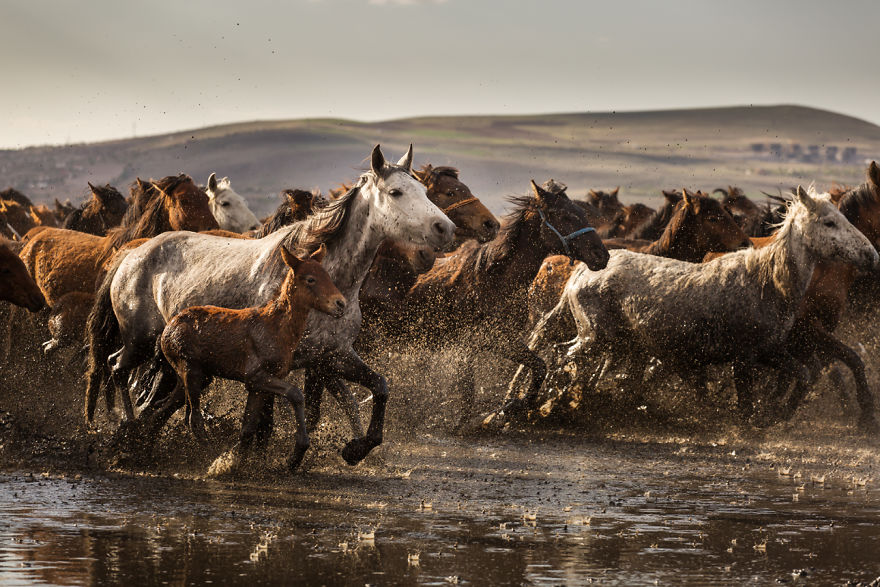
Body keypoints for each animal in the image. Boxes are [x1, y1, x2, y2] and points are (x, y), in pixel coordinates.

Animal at [160, 244, 346, 471]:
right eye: (310, 279)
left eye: (327, 275)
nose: (340, 304)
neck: (278, 329)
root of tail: (168, 329)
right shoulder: (255, 376)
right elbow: (295, 394)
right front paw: (296, 454)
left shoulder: (258, 385)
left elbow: (248, 428)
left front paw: (236, 463)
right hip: (190, 370)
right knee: (194, 419)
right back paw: (209, 456)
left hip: (196, 376)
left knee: (175, 412)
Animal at [393, 180, 609, 427]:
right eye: (565, 216)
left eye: (582, 213)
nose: (602, 255)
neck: (495, 277)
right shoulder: (477, 342)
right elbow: (467, 391)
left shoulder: (501, 339)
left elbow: (539, 367)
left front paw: (513, 407)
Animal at [527, 186, 878, 425]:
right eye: (830, 222)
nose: (871, 255)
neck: (767, 280)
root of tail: (583, 270)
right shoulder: (744, 357)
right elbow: (746, 401)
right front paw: (755, 422)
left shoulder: (770, 350)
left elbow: (803, 374)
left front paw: (775, 415)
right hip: (595, 337)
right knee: (564, 358)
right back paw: (548, 403)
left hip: (619, 343)